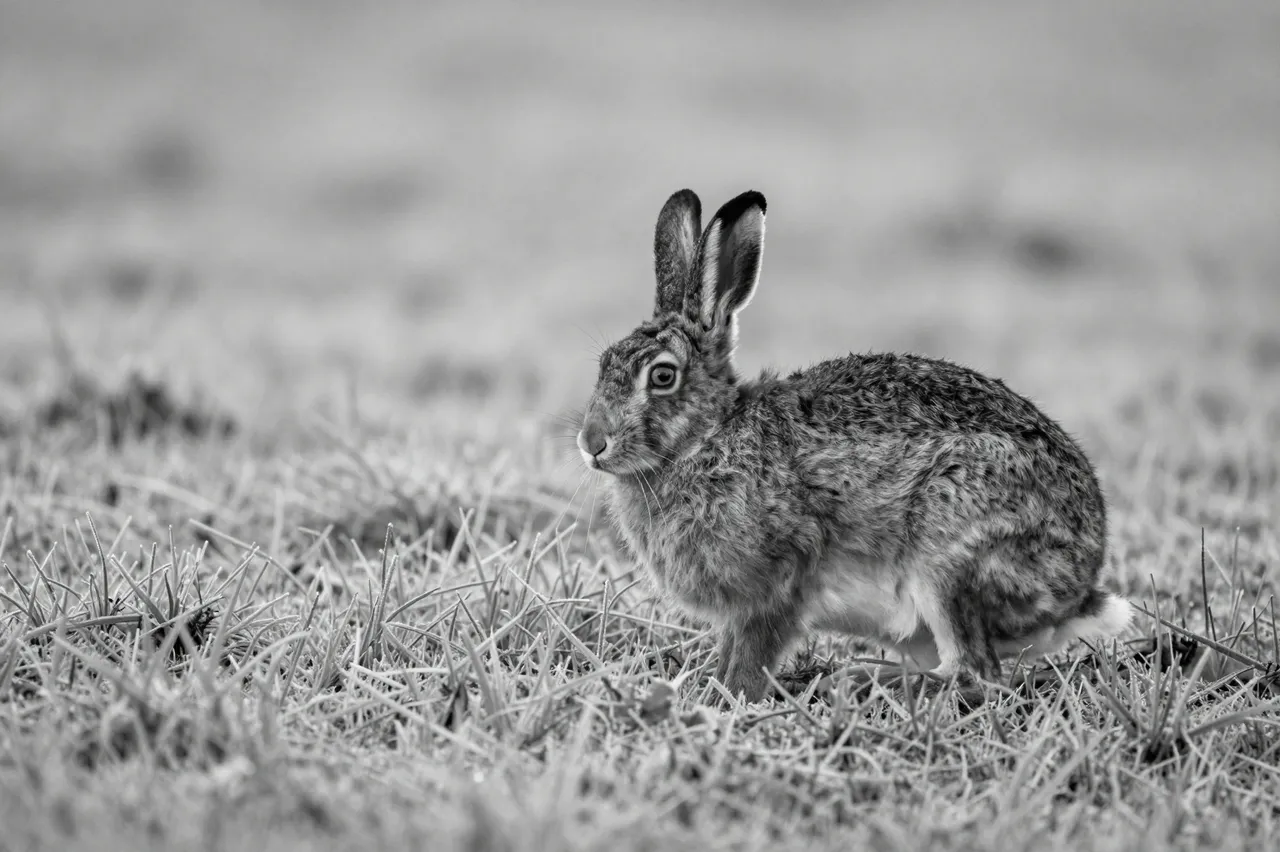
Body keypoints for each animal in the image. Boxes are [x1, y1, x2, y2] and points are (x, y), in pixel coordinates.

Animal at [576, 188, 1133, 702]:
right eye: (603, 363)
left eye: (662, 376)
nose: (590, 442)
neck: (706, 439)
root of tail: (1078, 588)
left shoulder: (779, 580)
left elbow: (751, 657)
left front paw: (726, 698)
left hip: (951, 555)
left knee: (975, 674)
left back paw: (859, 681)